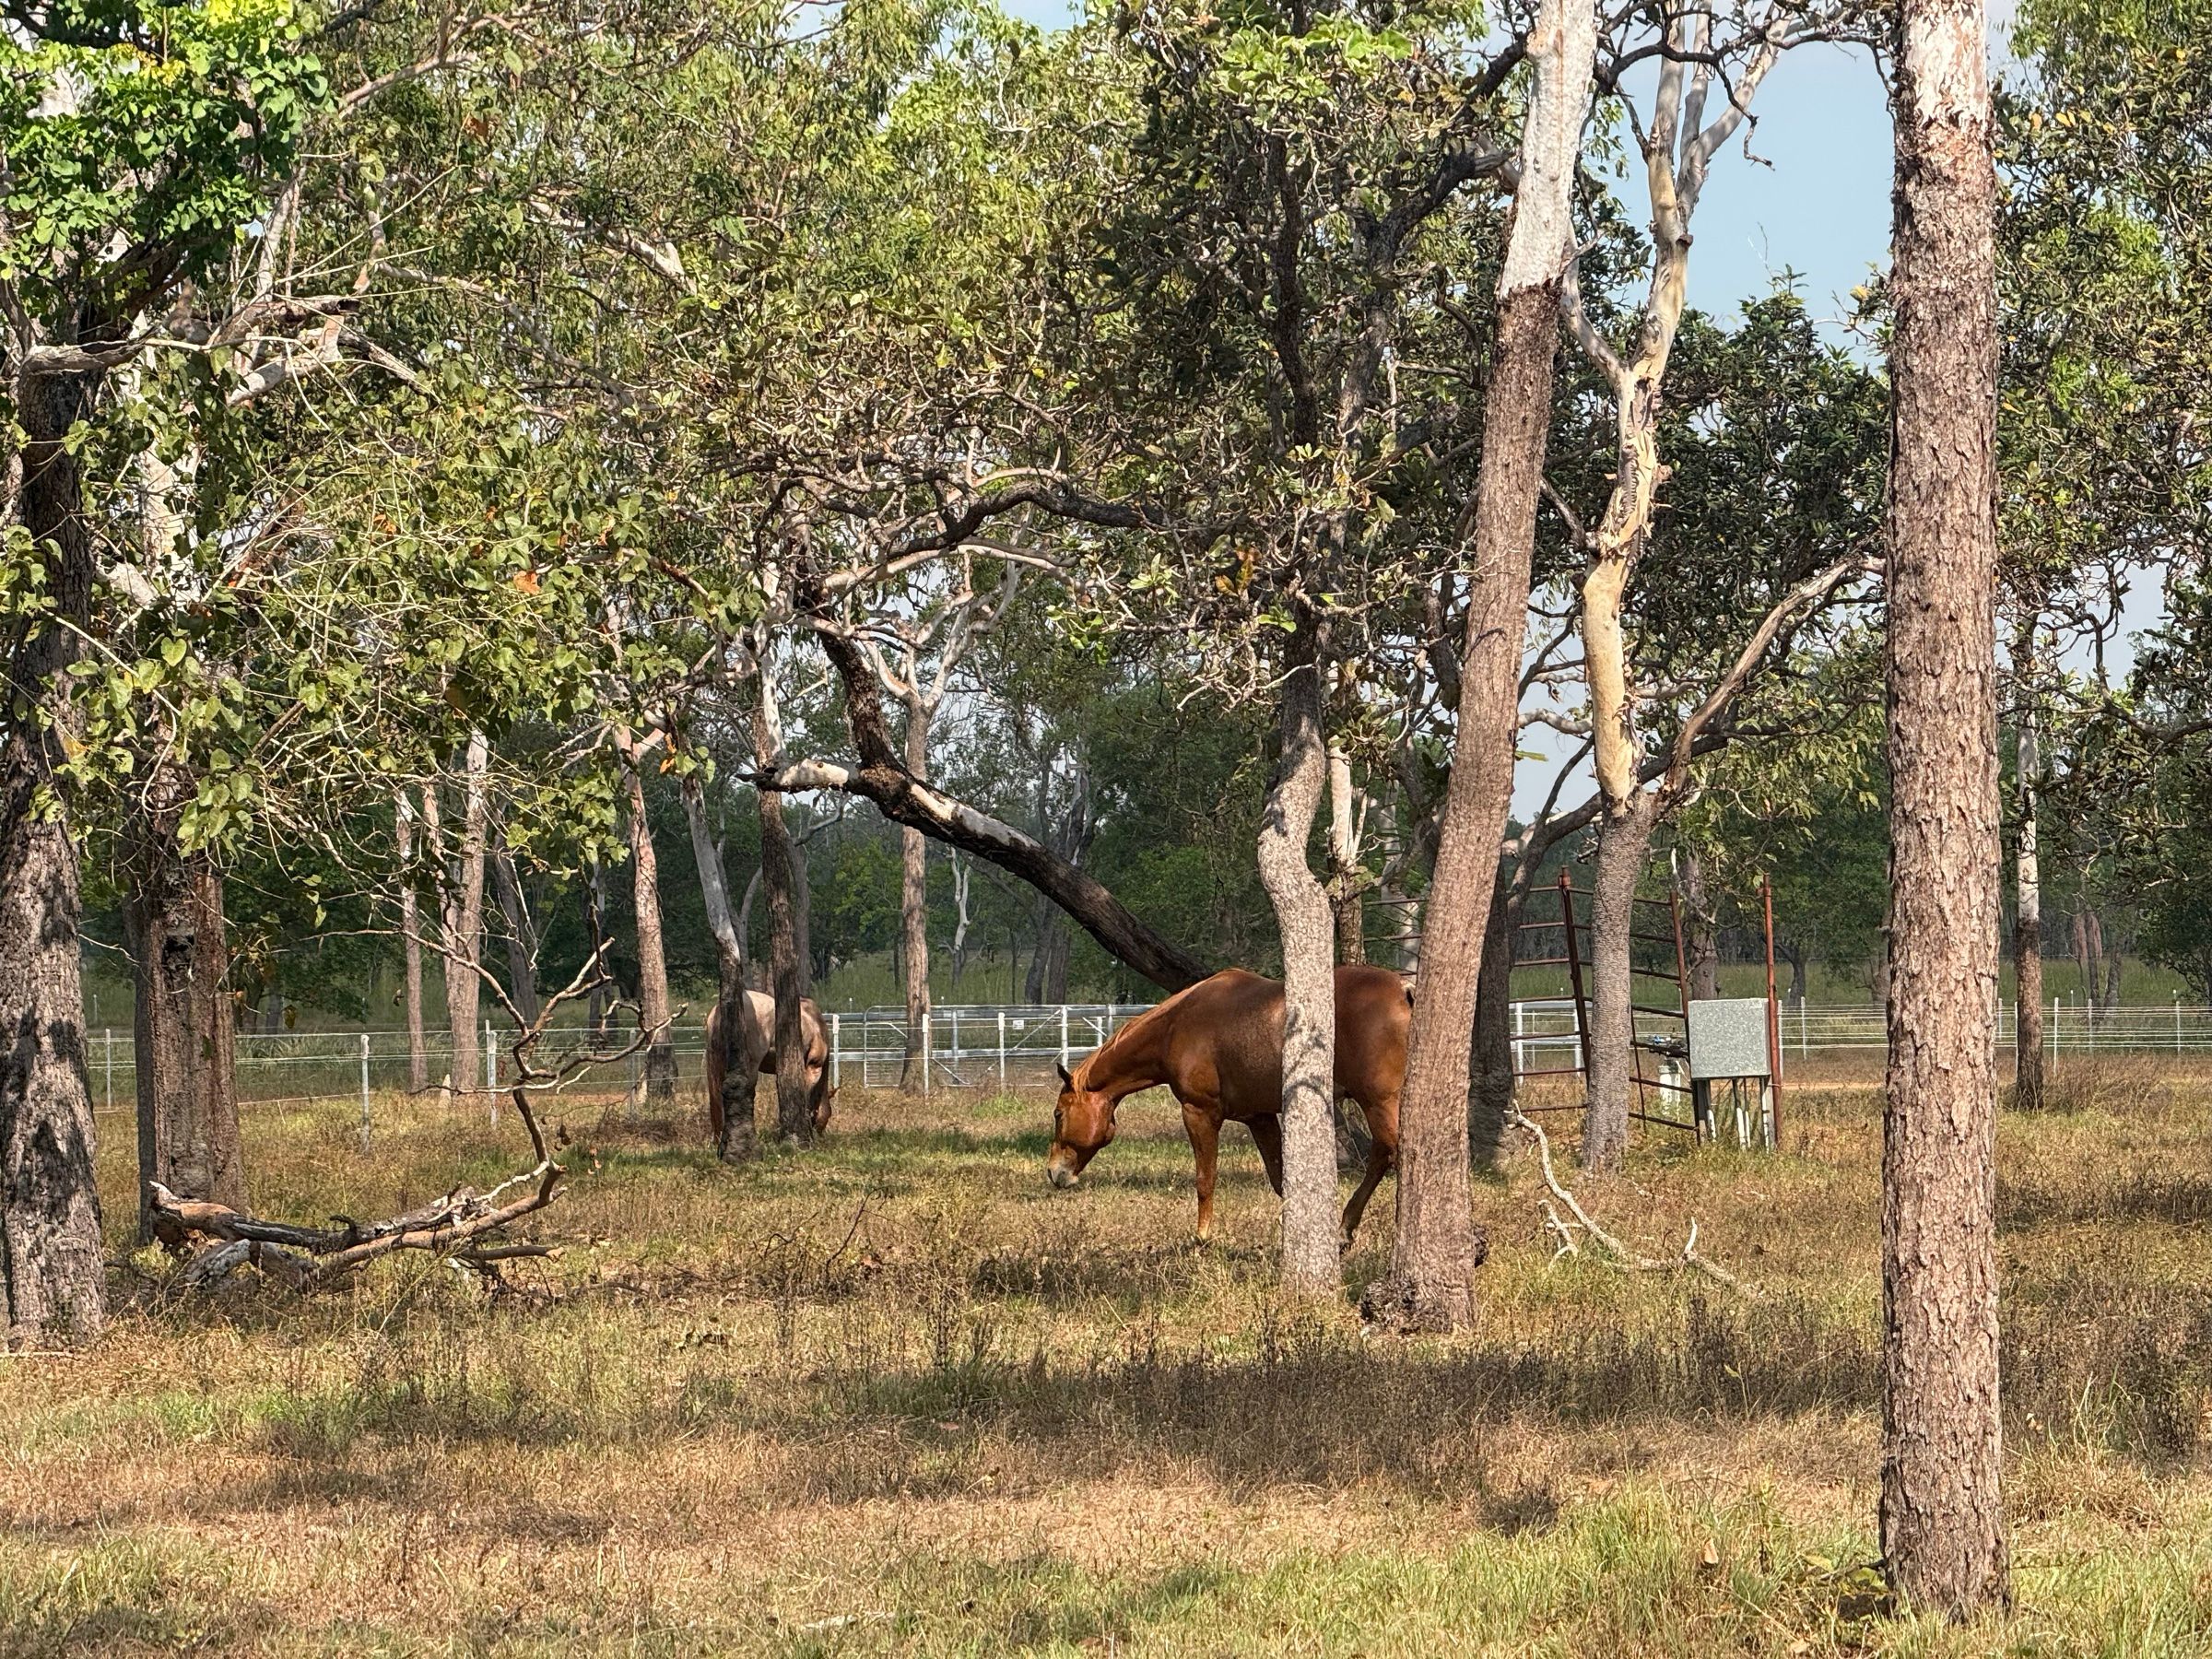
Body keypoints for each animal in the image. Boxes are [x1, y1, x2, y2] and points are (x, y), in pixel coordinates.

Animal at [1045, 964, 1410, 1246]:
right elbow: (1280, 1179)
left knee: (1391, 1153)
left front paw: (1202, 1236)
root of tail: (1404, 990)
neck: (1176, 1025)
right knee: (1384, 1155)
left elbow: (1205, 1178)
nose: (1053, 1172)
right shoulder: (1260, 1117)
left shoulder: (1199, 1113)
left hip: (1379, 1103)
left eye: (1058, 1114)